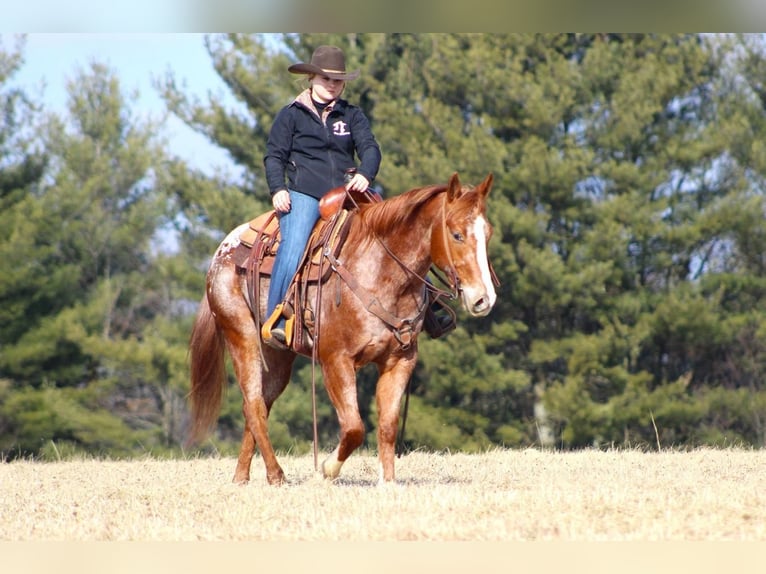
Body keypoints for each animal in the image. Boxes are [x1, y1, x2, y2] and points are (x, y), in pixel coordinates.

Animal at [186, 172, 498, 486]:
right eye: (456, 234)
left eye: (488, 233)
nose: (484, 299)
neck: (380, 272)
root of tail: (223, 250)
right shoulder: (336, 361)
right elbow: (354, 428)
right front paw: (328, 469)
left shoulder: (399, 362)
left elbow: (387, 425)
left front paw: (387, 482)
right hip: (241, 337)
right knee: (254, 404)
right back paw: (276, 475)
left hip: (277, 355)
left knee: (260, 403)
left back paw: (241, 476)